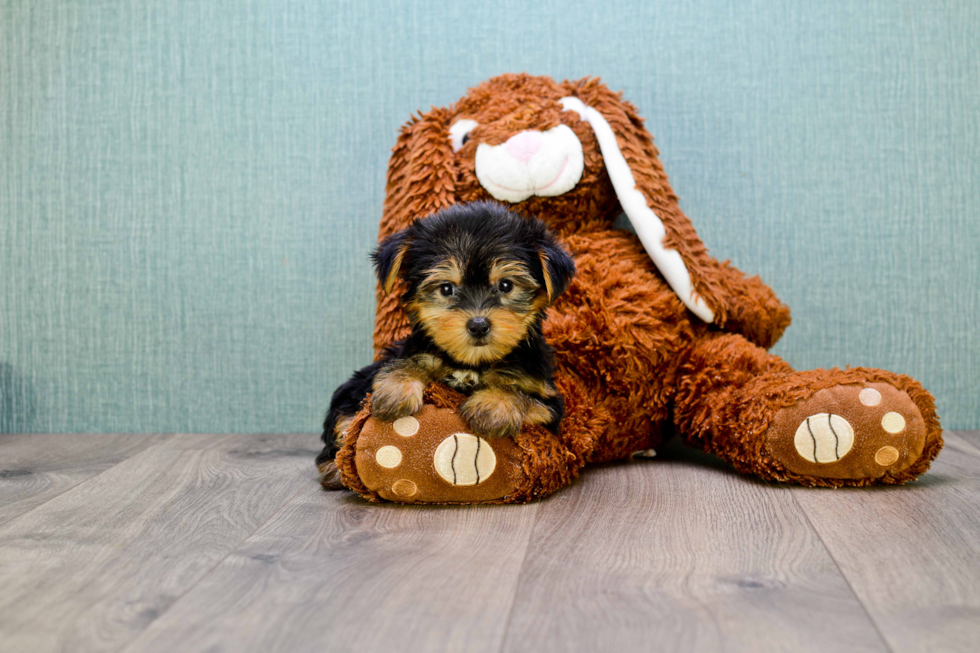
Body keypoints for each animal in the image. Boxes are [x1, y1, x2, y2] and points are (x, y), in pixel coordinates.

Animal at [314, 201, 576, 486]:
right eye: (447, 289)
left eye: (506, 285)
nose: (478, 324)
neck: (472, 362)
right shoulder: (413, 351)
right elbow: (407, 361)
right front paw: (396, 391)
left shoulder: (548, 403)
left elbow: (525, 396)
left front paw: (493, 406)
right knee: (343, 425)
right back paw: (335, 468)